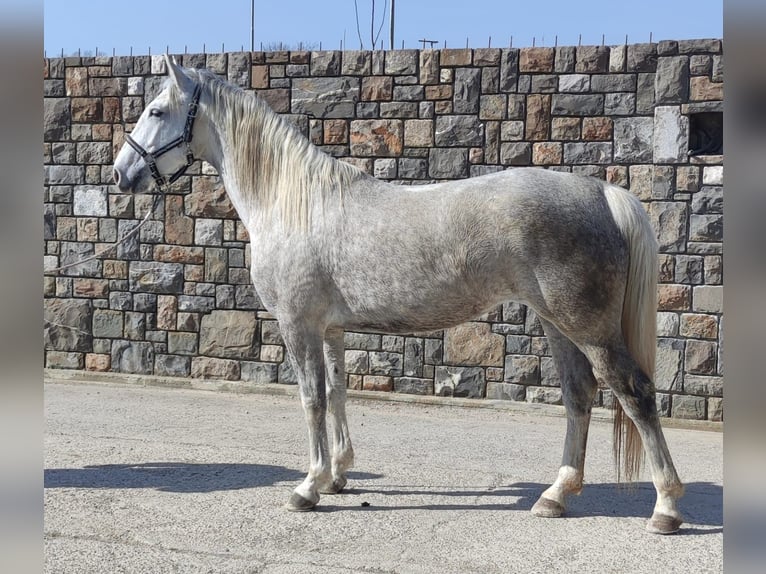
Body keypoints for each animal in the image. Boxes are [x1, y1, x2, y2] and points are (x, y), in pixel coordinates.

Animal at [112, 55, 684, 536]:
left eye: (157, 110)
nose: (121, 173)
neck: (293, 201)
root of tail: (602, 192)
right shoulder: (331, 329)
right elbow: (338, 393)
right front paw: (337, 476)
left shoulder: (298, 325)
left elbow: (312, 399)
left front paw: (307, 487)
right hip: (556, 323)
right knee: (579, 395)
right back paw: (555, 495)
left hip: (588, 328)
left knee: (634, 394)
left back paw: (665, 507)